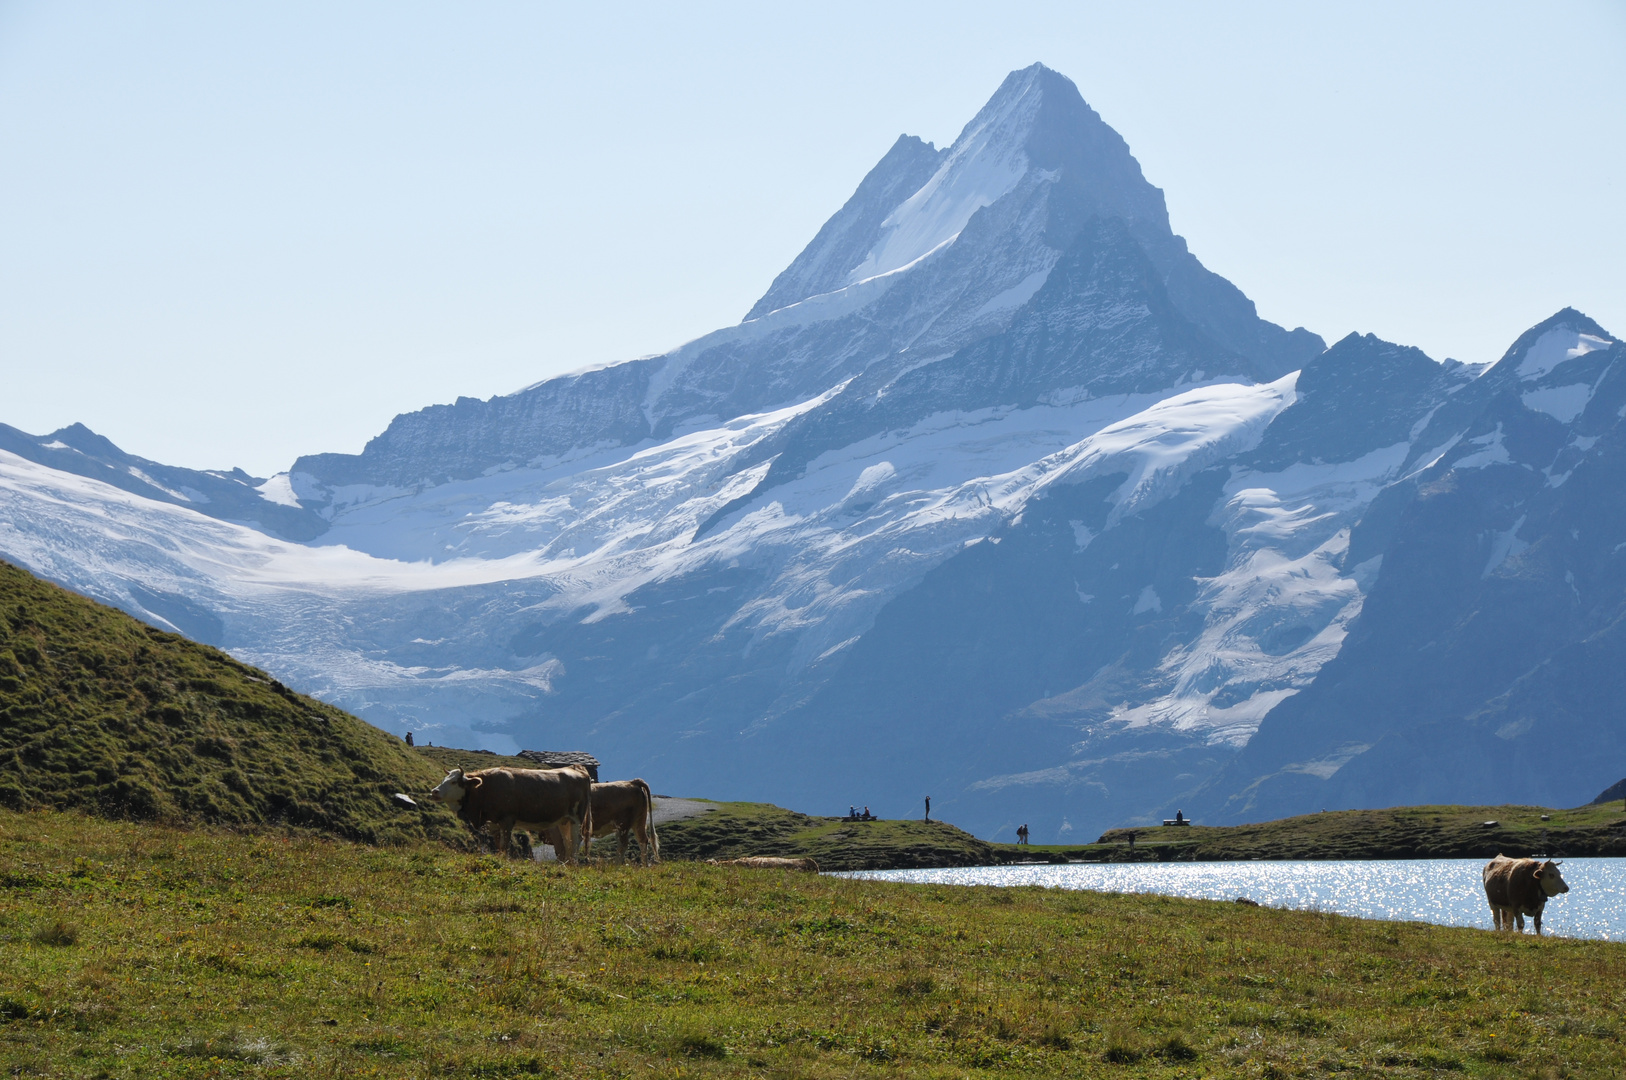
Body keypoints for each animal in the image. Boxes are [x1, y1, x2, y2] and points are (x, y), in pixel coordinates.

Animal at [429, 764, 595, 865]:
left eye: (454, 782)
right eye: (444, 779)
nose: (434, 792)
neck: (486, 788)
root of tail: (576, 769)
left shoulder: (507, 820)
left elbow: (505, 844)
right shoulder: (493, 823)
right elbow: (499, 845)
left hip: (576, 818)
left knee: (576, 840)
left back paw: (573, 863)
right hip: (563, 820)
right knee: (567, 842)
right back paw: (566, 864)